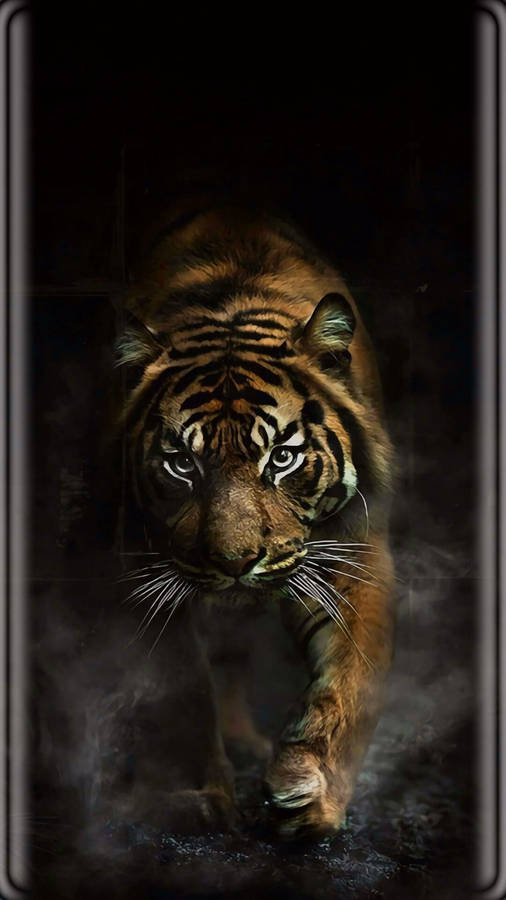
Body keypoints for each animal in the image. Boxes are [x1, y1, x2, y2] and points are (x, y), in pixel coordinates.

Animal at [113, 201, 395, 840]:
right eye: (182, 463)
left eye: (282, 458)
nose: (236, 561)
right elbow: (184, 687)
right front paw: (199, 798)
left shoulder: (354, 550)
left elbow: (351, 679)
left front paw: (310, 794)